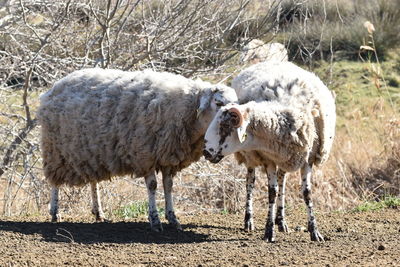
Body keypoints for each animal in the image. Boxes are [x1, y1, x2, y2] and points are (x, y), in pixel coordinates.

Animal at [37, 67, 238, 232]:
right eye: (218, 103)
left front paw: (173, 218)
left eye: (235, 101)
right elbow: (153, 186)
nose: (235, 118)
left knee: (94, 182)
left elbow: (168, 186)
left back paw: (98, 212)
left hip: (89, 149)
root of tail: (53, 88)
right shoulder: (145, 153)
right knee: (54, 181)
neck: (187, 108)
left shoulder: (168, 156)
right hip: (55, 149)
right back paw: (55, 212)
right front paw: (155, 220)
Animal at [205, 61, 336, 243]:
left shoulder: (306, 159)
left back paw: (281, 221)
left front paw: (314, 231)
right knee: (250, 182)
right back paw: (249, 220)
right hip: (251, 157)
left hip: (284, 158)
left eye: (224, 126)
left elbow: (306, 193)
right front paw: (268, 231)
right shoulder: (268, 159)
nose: (206, 151)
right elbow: (271, 193)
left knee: (282, 181)